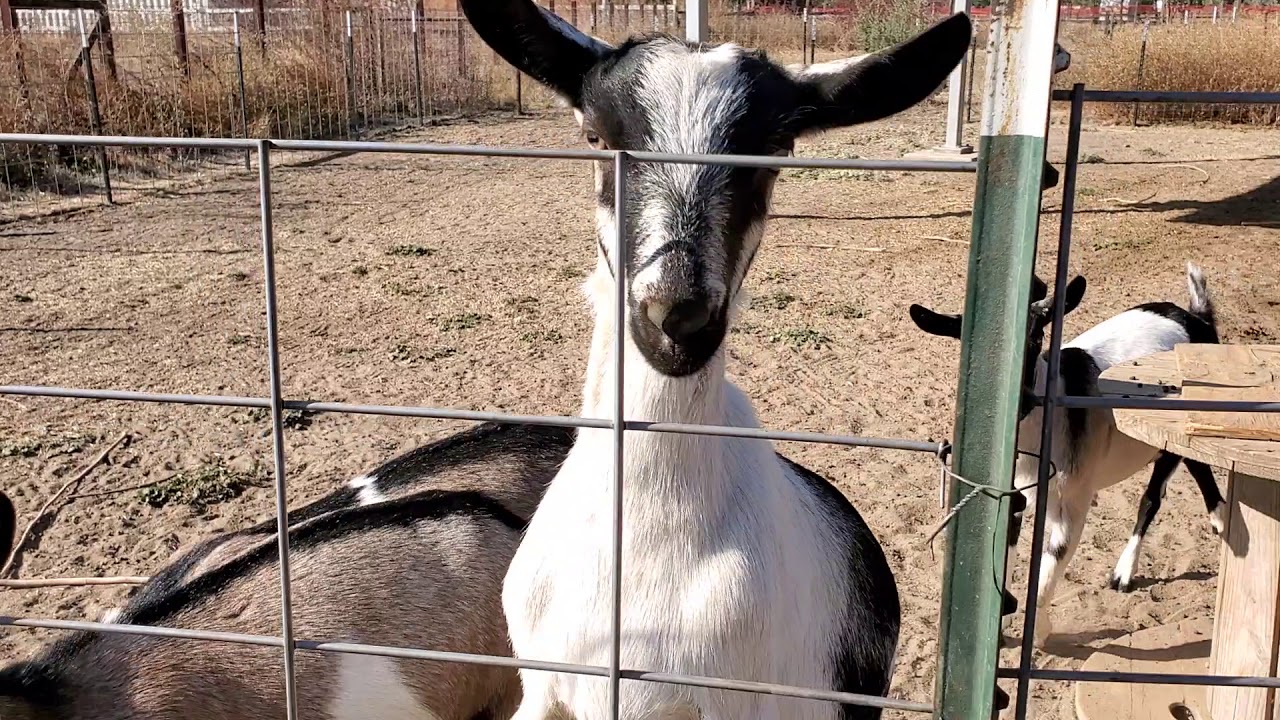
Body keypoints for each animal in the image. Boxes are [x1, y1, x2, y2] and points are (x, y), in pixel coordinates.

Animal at [909, 263, 1225, 645]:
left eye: (1036, 339)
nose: (1017, 404)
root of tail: (1197, 318)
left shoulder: (1071, 500)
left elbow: (1049, 571)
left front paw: (1038, 633)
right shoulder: (1010, 496)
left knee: (1154, 495)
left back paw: (1125, 571)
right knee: (1197, 465)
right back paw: (1221, 522)